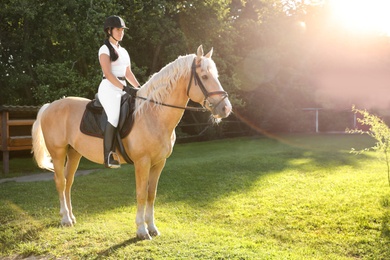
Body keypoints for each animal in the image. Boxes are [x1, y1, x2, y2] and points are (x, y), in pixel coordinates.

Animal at [32, 44, 232, 240]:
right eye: (204, 76)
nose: (226, 108)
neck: (153, 114)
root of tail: (50, 106)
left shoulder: (159, 163)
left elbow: (151, 194)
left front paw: (152, 227)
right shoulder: (142, 162)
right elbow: (141, 194)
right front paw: (142, 230)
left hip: (74, 153)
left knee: (69, 181)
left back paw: (72, 217)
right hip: (58, 153)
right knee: (60, 181)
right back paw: (65, 218)